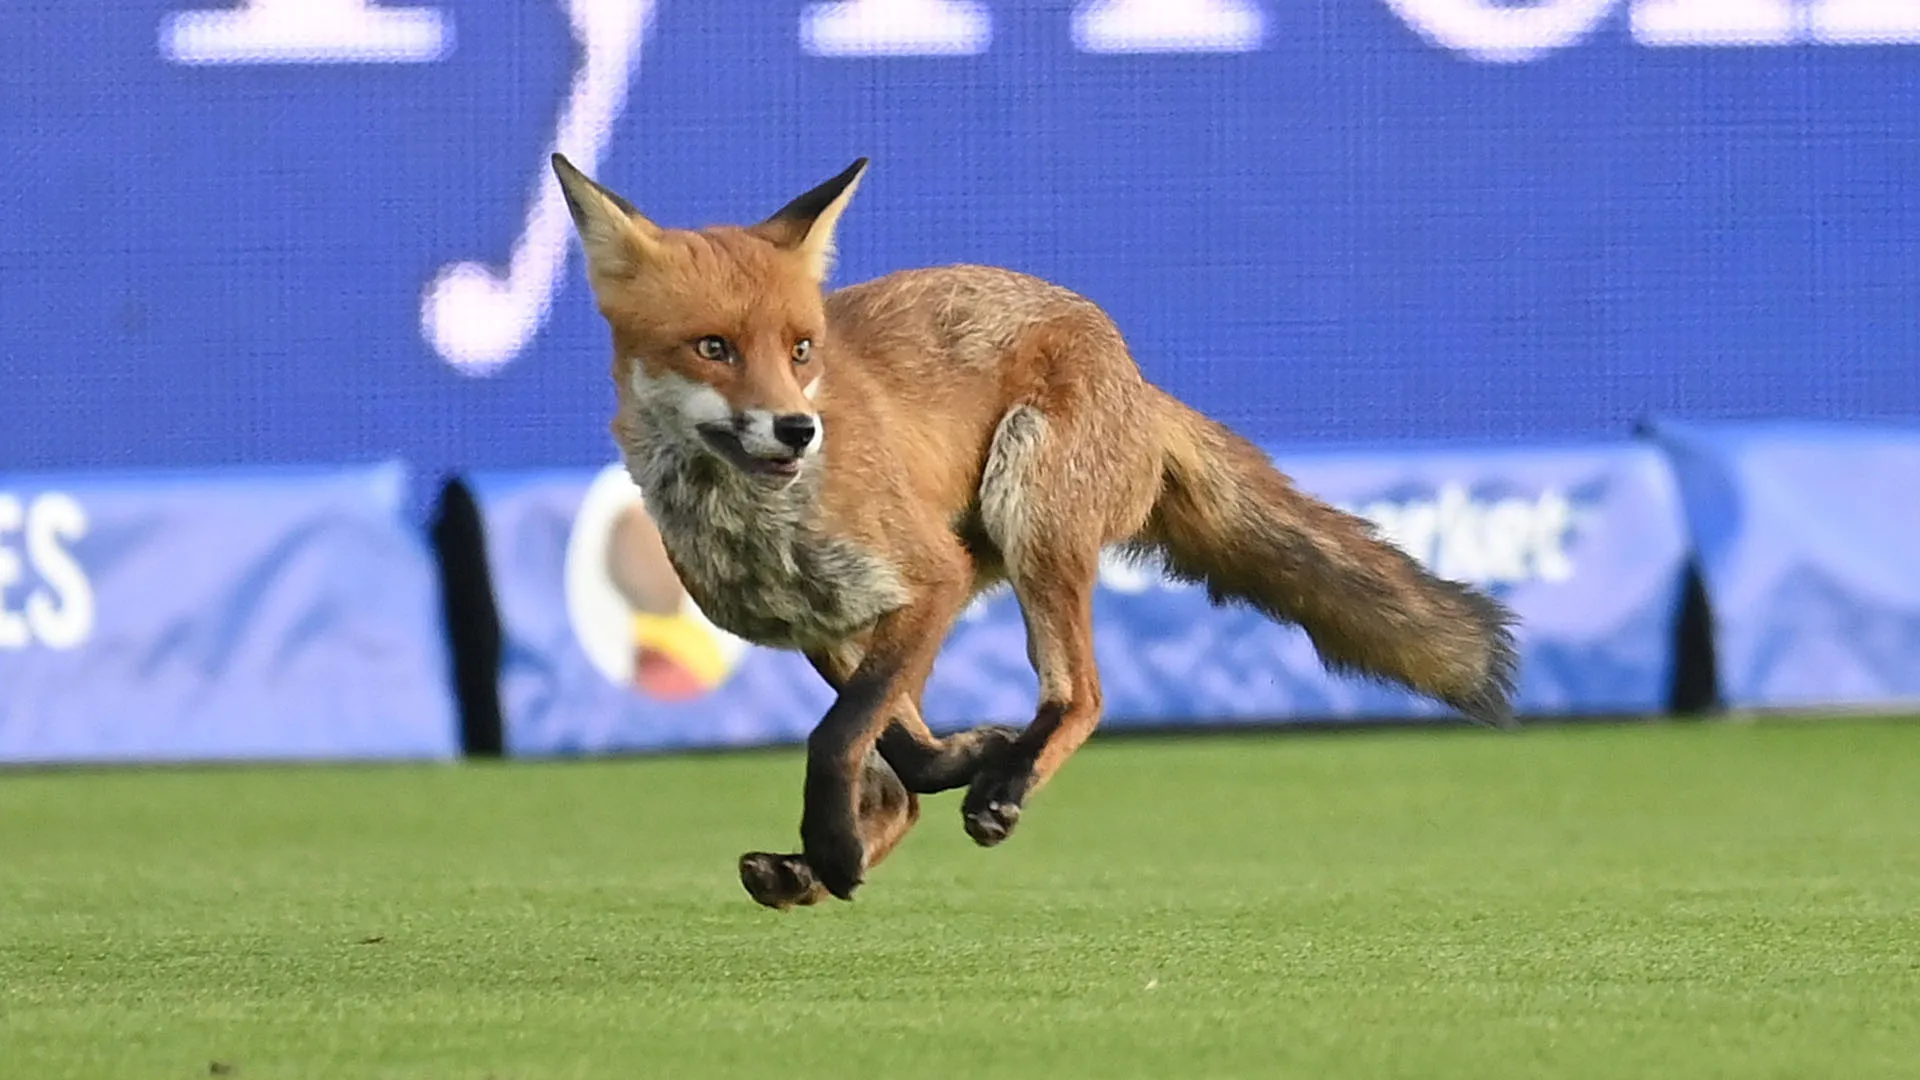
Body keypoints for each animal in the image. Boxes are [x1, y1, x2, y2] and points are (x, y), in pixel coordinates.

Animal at [549, 153, 1519, 909]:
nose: (797, 429)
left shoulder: (928, 578)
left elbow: (841, 735)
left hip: (1029, 516)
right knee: (912, 783)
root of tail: (1131, 363)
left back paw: (995, 788)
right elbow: (890, 745)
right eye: (712, 347)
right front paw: (898, 801)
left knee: (1081, 695)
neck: (760, 526)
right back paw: (836, 855)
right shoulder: (823, 622)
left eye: (801, 349)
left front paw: (859, 828)